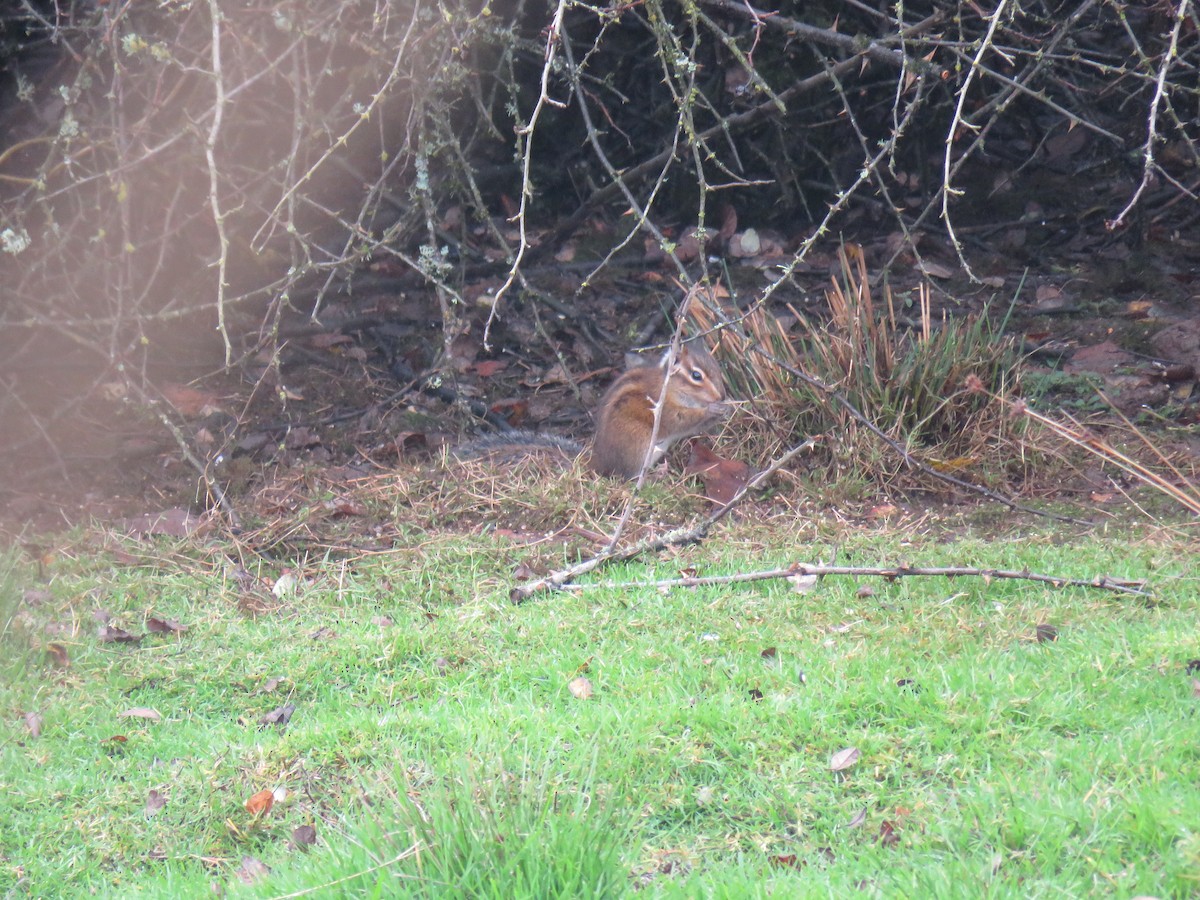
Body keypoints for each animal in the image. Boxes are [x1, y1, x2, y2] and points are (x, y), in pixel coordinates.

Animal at [453, 341, 730, 480]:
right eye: (696, 376)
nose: (722, 395)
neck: (669, 386)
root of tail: (597, 462)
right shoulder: (663, 408)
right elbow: (679, 421)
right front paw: (713, 410)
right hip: (638, 445)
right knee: (625, 477)